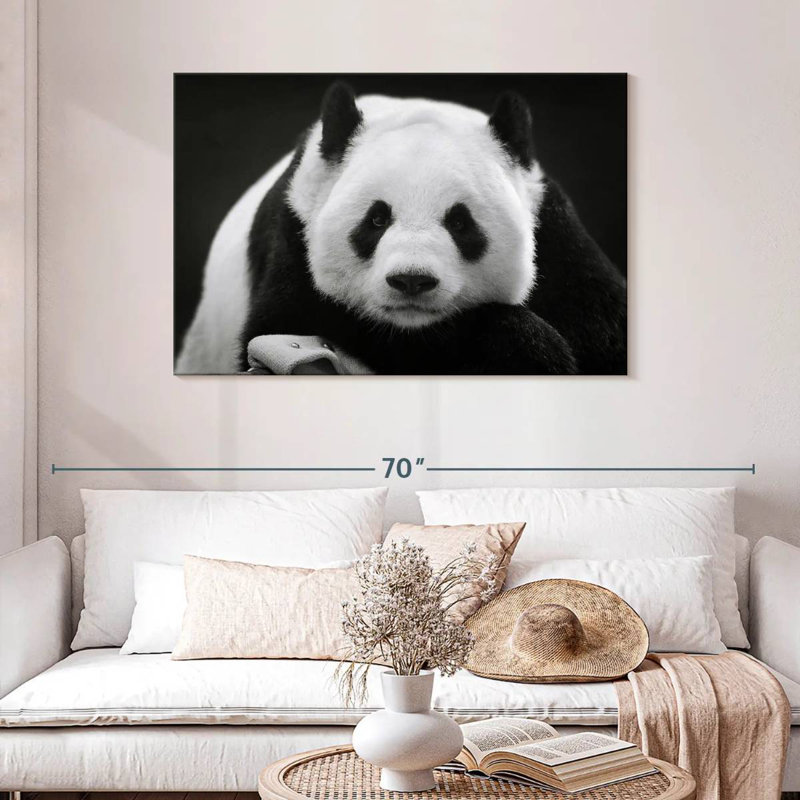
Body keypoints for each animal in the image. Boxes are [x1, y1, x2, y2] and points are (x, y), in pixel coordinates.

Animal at [176, 82, 626, 375]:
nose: (412, 280)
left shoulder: (555, 235)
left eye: (460, 222)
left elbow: (607, 333)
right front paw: (529, 349)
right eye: (376, 219)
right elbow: (290, 322)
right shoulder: (295, 232)